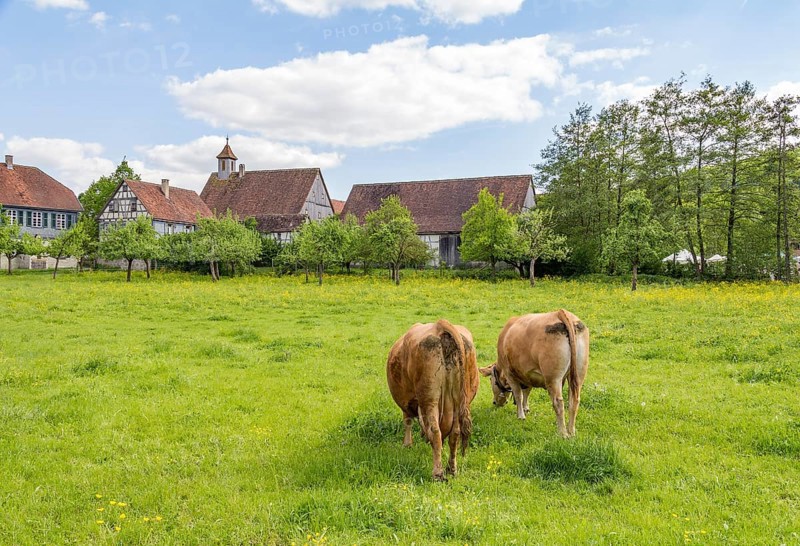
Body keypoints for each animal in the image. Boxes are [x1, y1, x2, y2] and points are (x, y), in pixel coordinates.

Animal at [387, 320, 480, 481]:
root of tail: (440, 326)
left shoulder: (407, 404)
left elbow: (407, 422)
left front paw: (407, 444)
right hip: (459, 402)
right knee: (455, 434)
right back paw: (451, 469)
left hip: (429, 399)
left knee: (435, 432)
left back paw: (437, 473)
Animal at [480, 309, 589, 438]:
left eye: (491, 380)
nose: (495, 402)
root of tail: (560, 312)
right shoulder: (527, 374)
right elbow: (526, 391)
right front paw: (526, 408)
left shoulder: (509, 373)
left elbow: (518, 394)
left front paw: (521, 415)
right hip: (579, 373)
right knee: (574, 400)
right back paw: (571, 431)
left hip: (553, 378)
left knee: (558, 402)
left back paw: (562, 433)